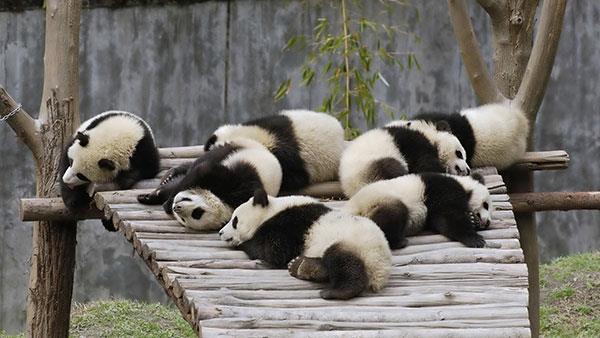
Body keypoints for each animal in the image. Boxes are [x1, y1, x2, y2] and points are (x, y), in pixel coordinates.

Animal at [138, 139, 284, 231]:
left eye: (196, 214)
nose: (176, 208)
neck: (225, 201)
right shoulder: (235, 182)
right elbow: (201, 171)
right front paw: (158, 199)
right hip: (234, 148)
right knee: (200, 161)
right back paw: (171, 174)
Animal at [218, 189, 392, 300]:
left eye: (235, 221)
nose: (220, 233)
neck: (272, 210)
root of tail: (381, 270)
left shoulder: (289, 225)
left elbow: (274, 251)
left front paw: (244, 243)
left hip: (357, 244)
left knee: (343, 260)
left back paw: (336, 291)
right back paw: (301, 266)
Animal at [338, 121, 468, 197]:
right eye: (459, 154)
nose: (468, 170)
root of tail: (352, 188)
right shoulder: (412, 142)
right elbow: (425, 164)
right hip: (370, 165)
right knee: (391, 168)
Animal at [342, 173, 492, 250]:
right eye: (485, 205)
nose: (488, 222)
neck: (464, 185)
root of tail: (350, 209)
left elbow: (439, 222)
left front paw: (472, 220)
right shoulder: (442, 190)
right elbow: (448, 217)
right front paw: (475, 239)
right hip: (377, 201)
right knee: (393, 214)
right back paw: (398, 242)